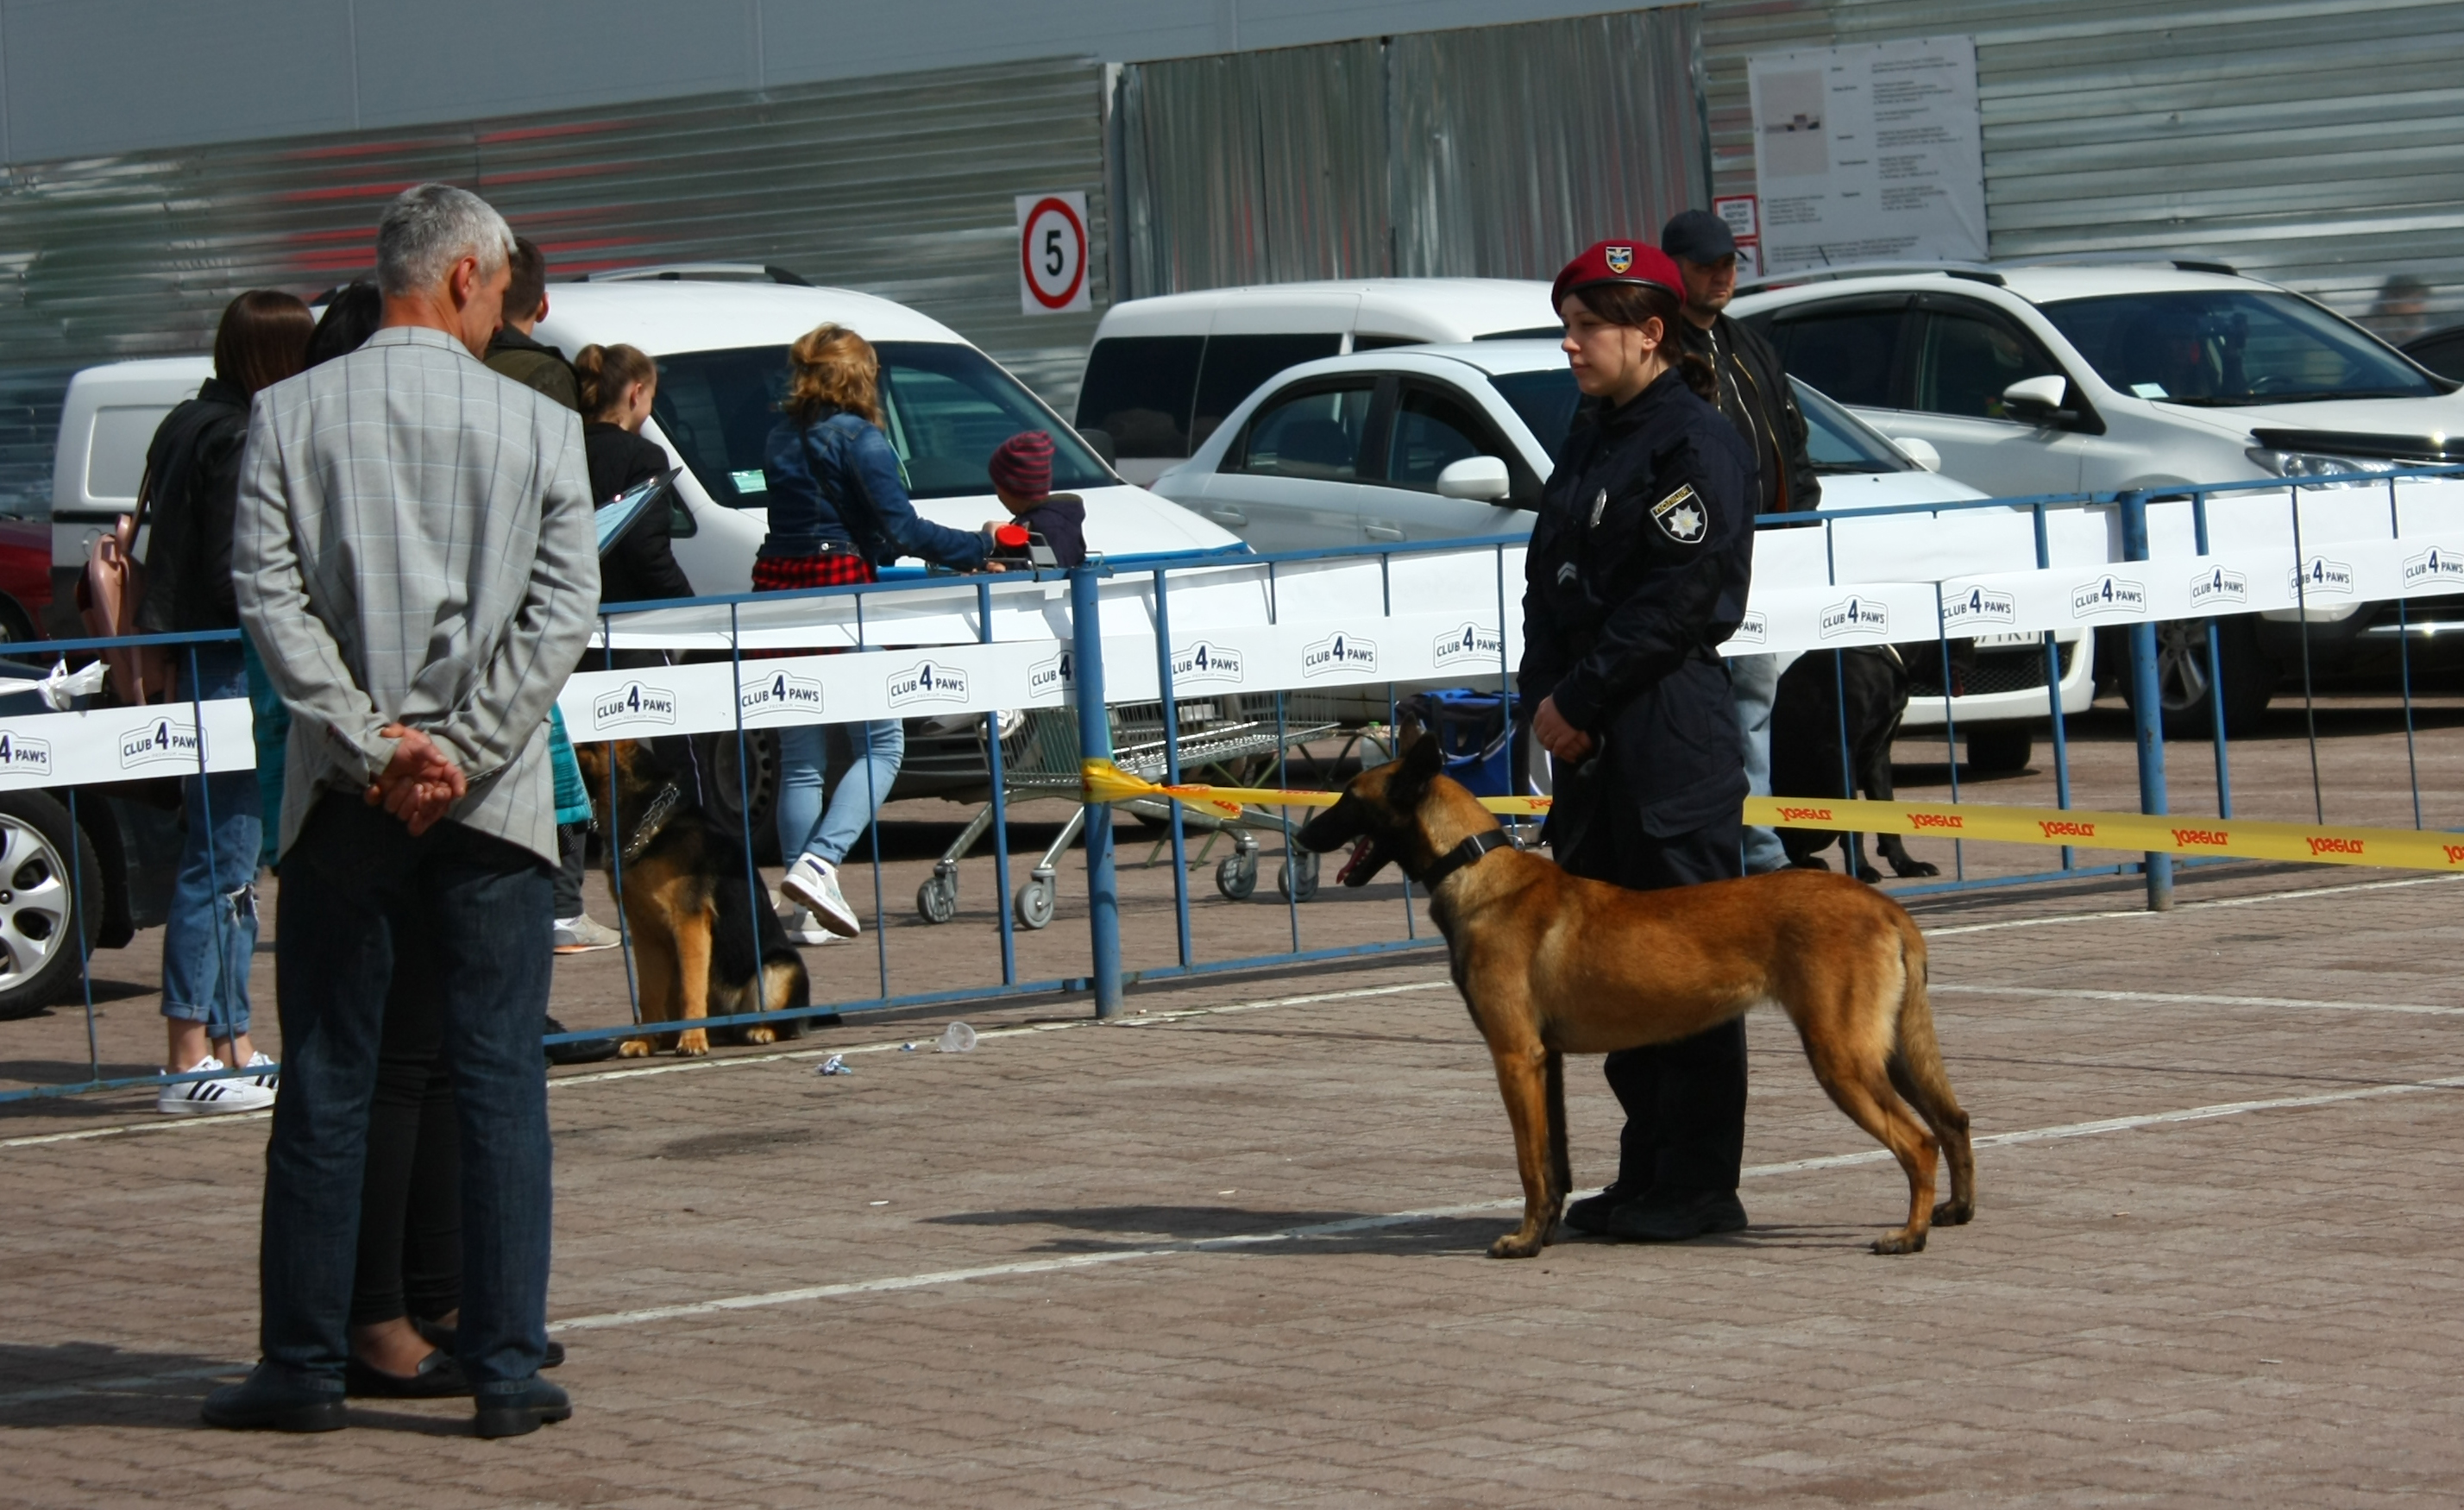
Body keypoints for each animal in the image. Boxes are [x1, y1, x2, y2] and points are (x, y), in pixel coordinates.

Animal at [571, 739, 814, 1057]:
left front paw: (692, 1040)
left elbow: (692, 990)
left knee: (782, 1021)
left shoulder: (689, 924)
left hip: (778, 971)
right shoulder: (646, 935)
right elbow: (648, 994)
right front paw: (645, 1041)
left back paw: (759, 1030)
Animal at [1296, 736, 1975, 1258]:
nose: (1302, 838)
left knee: (1919, 1141)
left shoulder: (1515, 1058)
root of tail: (1885, 908)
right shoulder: (1546, 1064)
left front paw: (1522, 1241)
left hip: (1842, 1058)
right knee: (1953, 1120)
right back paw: (1956, 1211)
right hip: (1890, 1052)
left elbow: (1528, 1163)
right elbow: (1554, 1164)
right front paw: (1543, 1233)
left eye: (1349, 798)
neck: (1474, 867)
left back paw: (1908, 1236)